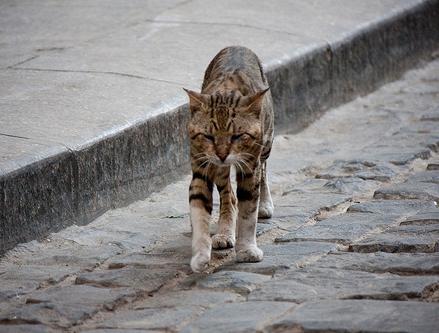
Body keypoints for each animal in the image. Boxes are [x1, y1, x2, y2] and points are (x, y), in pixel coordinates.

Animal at [184, 44, 274, 272]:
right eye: (208, 136)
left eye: (237, 136)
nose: (222, 154)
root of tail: (238, 46)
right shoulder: (201, 167)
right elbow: (199, 208)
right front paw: (200, 254)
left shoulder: (251, 165)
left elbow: (248, 210)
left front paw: (247, 249)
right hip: (219, 170)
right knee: (229, 196)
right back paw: (225, 231)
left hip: (267, 142)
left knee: (264, 170)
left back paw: (265, 203)